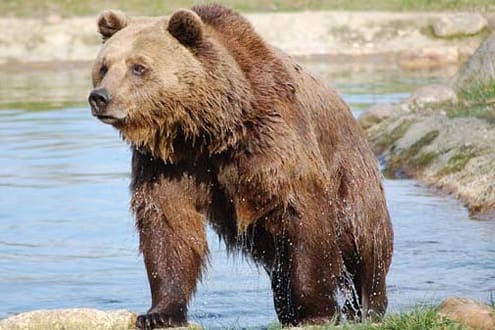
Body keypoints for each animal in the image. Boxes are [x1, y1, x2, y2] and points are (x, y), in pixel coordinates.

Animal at [87, 3, 394, 328]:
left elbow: (304, 214)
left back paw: (369, 306)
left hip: (350, 171)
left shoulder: (272, 139)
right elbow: (169, 223)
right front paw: (159, 313)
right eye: (104, 66)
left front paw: (316, 312)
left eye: (138, 67)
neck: (211, 130)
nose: (100, 97)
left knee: (364, 240)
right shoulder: (169, 163)